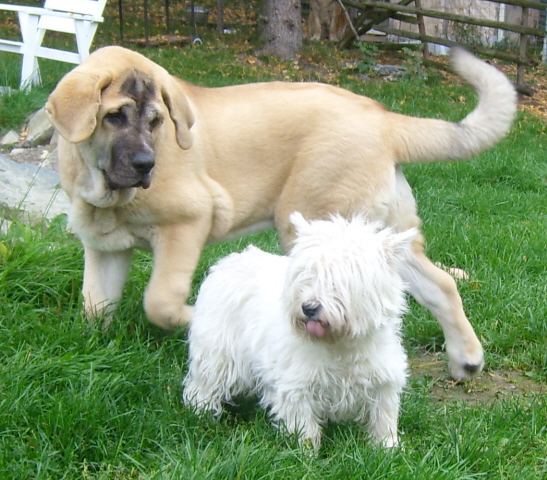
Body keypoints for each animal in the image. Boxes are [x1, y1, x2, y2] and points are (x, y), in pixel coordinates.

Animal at [46, 47, 520, 380]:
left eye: (156, 120)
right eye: (114, 116)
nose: (147, 165)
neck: (103, 186)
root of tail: (386, 120)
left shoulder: (186, 224)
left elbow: (160, 302)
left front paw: (194, 318)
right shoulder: (105, 248)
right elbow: (95, 306)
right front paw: (97, 346)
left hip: (315, 220)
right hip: (383, 232)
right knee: (441, 285)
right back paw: (467, 360)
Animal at [183, 214, 416, 450]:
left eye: (339, 280)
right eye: (306, 275)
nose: (309, 308)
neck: (340, 345)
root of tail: (224, 263)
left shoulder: (383, 378)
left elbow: (383, 416)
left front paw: (387, 447)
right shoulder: (298, 385)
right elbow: (303, 425)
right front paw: (306, 453)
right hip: (218, 351)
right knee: (204, 383)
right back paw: (201, 412)